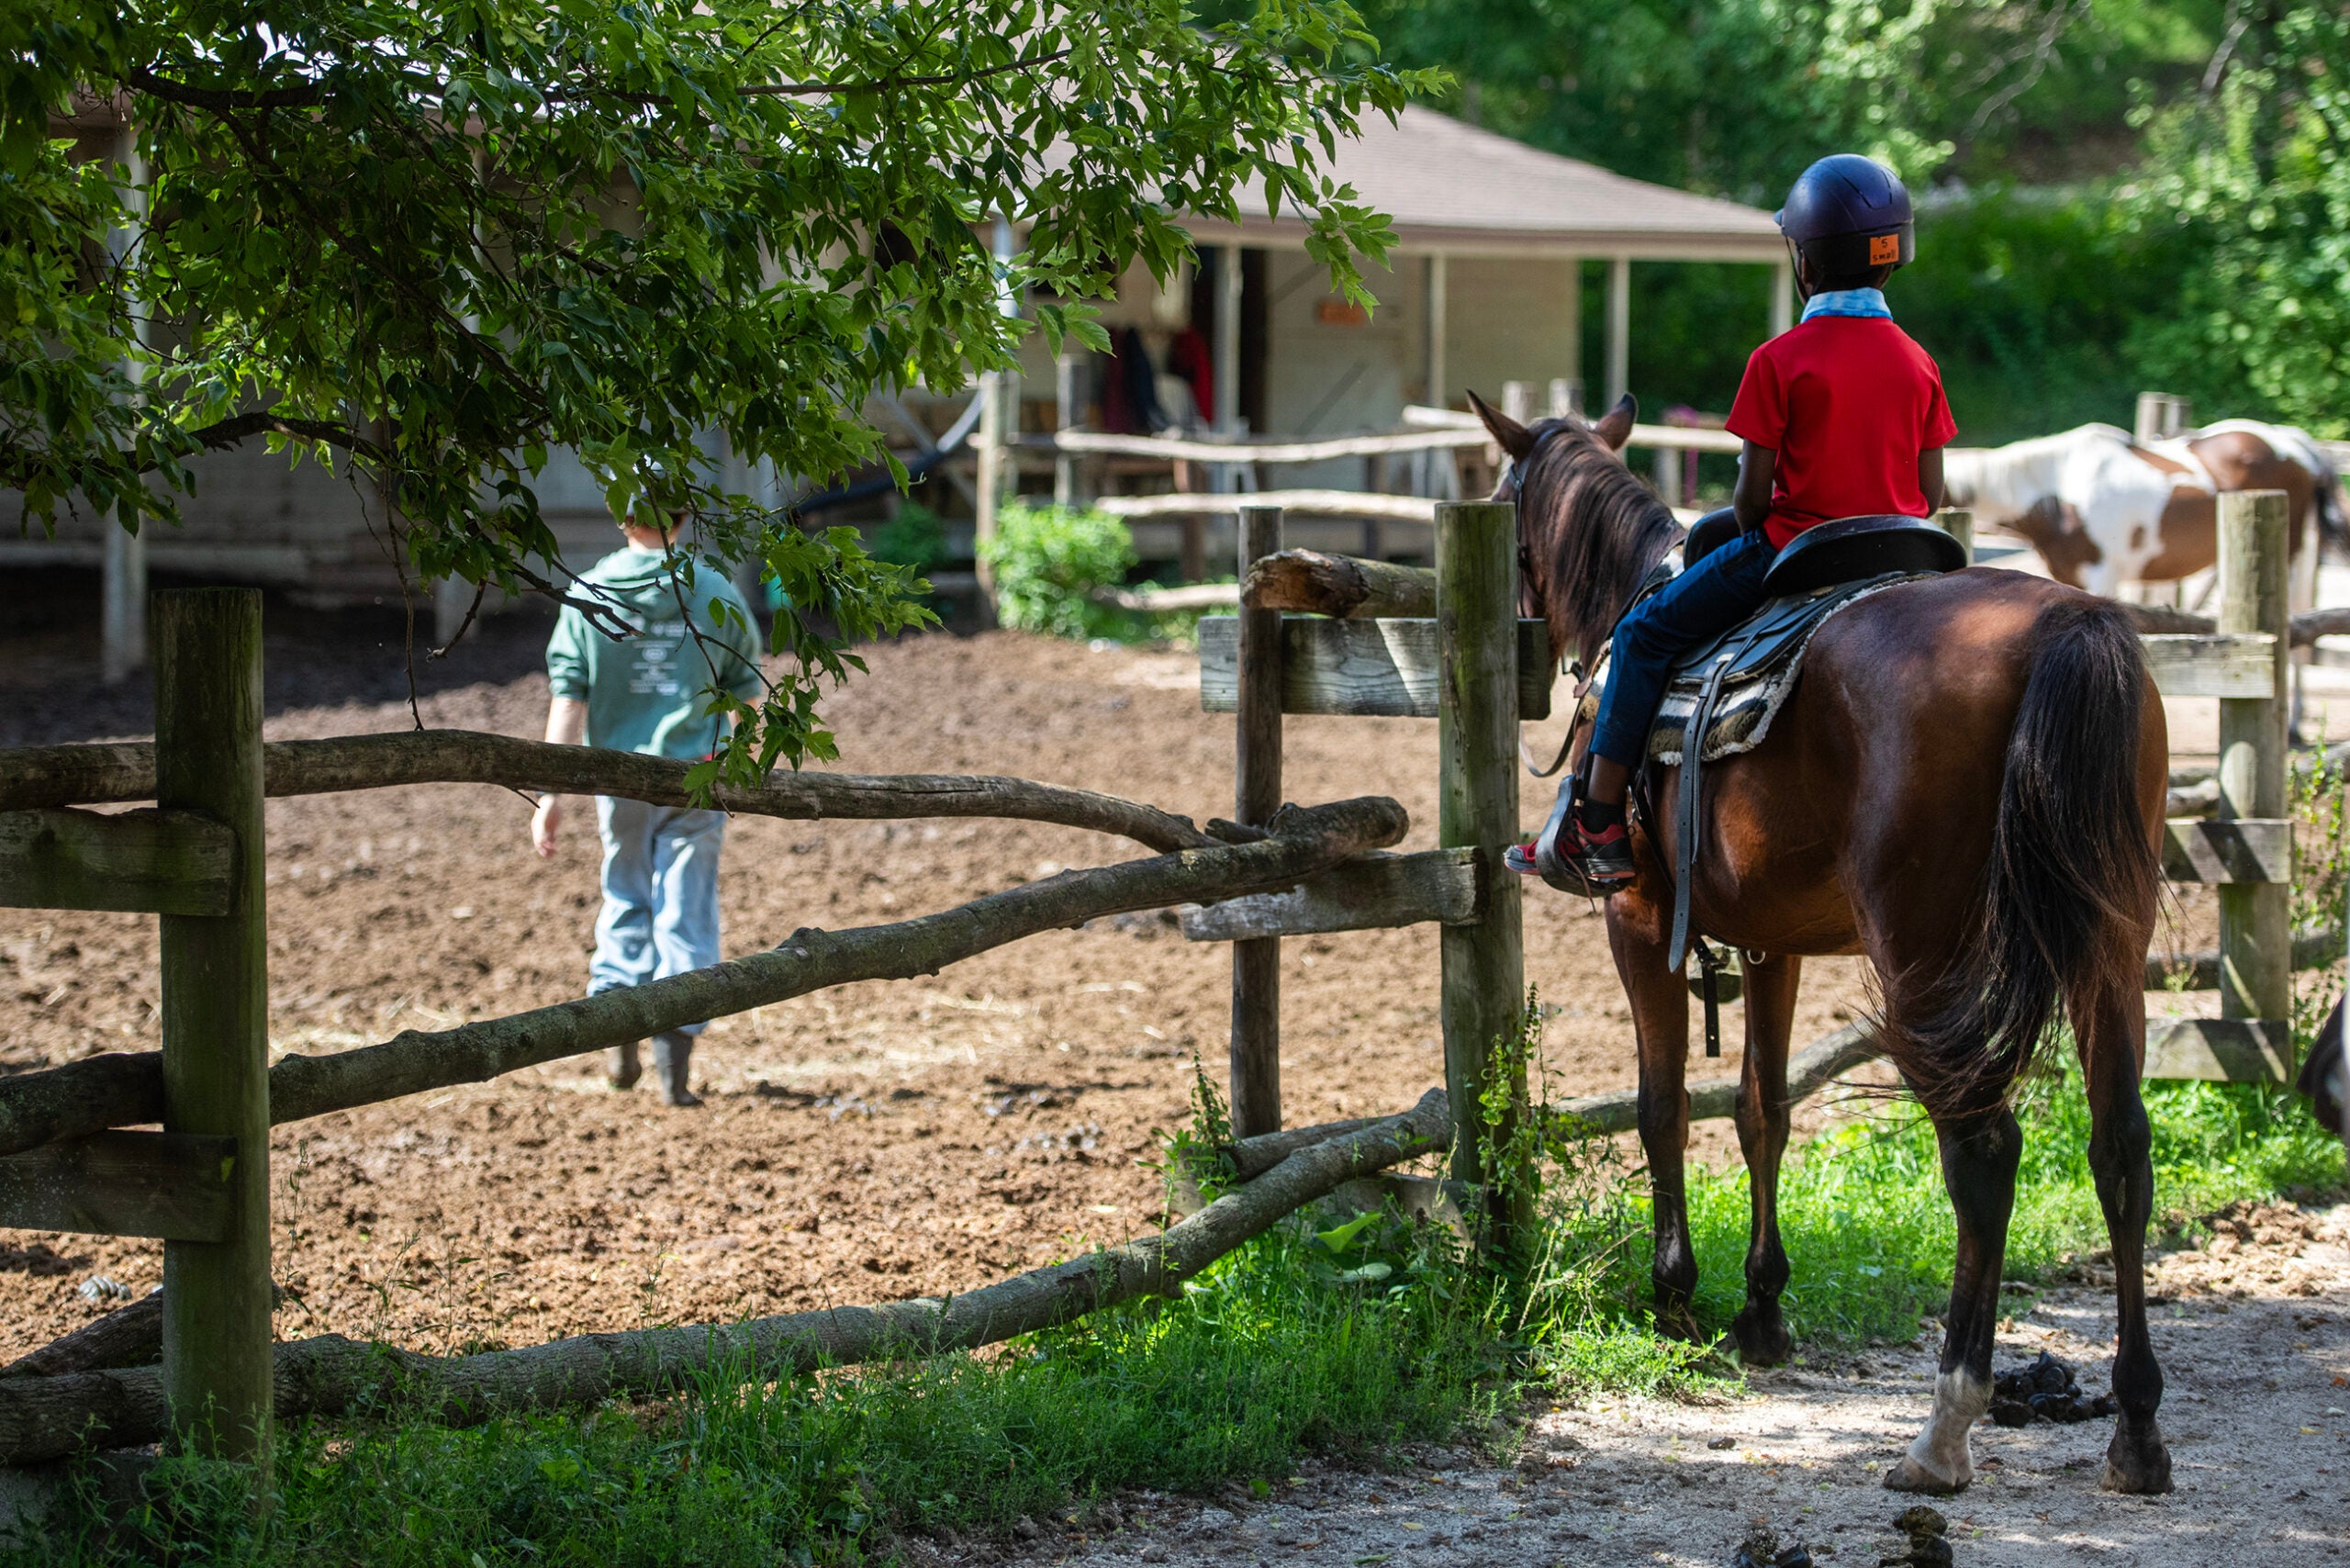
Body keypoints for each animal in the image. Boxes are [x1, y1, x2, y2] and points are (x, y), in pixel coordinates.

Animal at [1474, 390, 2174, 1497]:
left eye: (1507, 515)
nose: (1525, 657)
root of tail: (2067, 623)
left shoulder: (1638, 920)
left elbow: (1663, 1107)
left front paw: (1675, 1298)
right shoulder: (1777, 944)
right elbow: (1762, 1109)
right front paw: (1761, 1310)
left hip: (1926, 955)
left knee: (1982, 1153)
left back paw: (1943, 1429)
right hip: (2108, 945)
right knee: (2121, 1149)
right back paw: (2136, 1430)